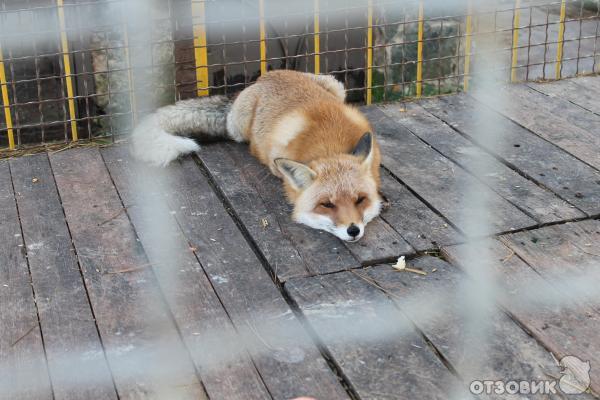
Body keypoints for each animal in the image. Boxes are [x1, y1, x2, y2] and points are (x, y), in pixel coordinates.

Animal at [133, 70, 382, 242]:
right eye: (327, 205)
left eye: (360, 200)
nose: (353, 230)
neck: (330, 145)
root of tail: (261, 78)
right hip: (239, 128)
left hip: (336, 85)